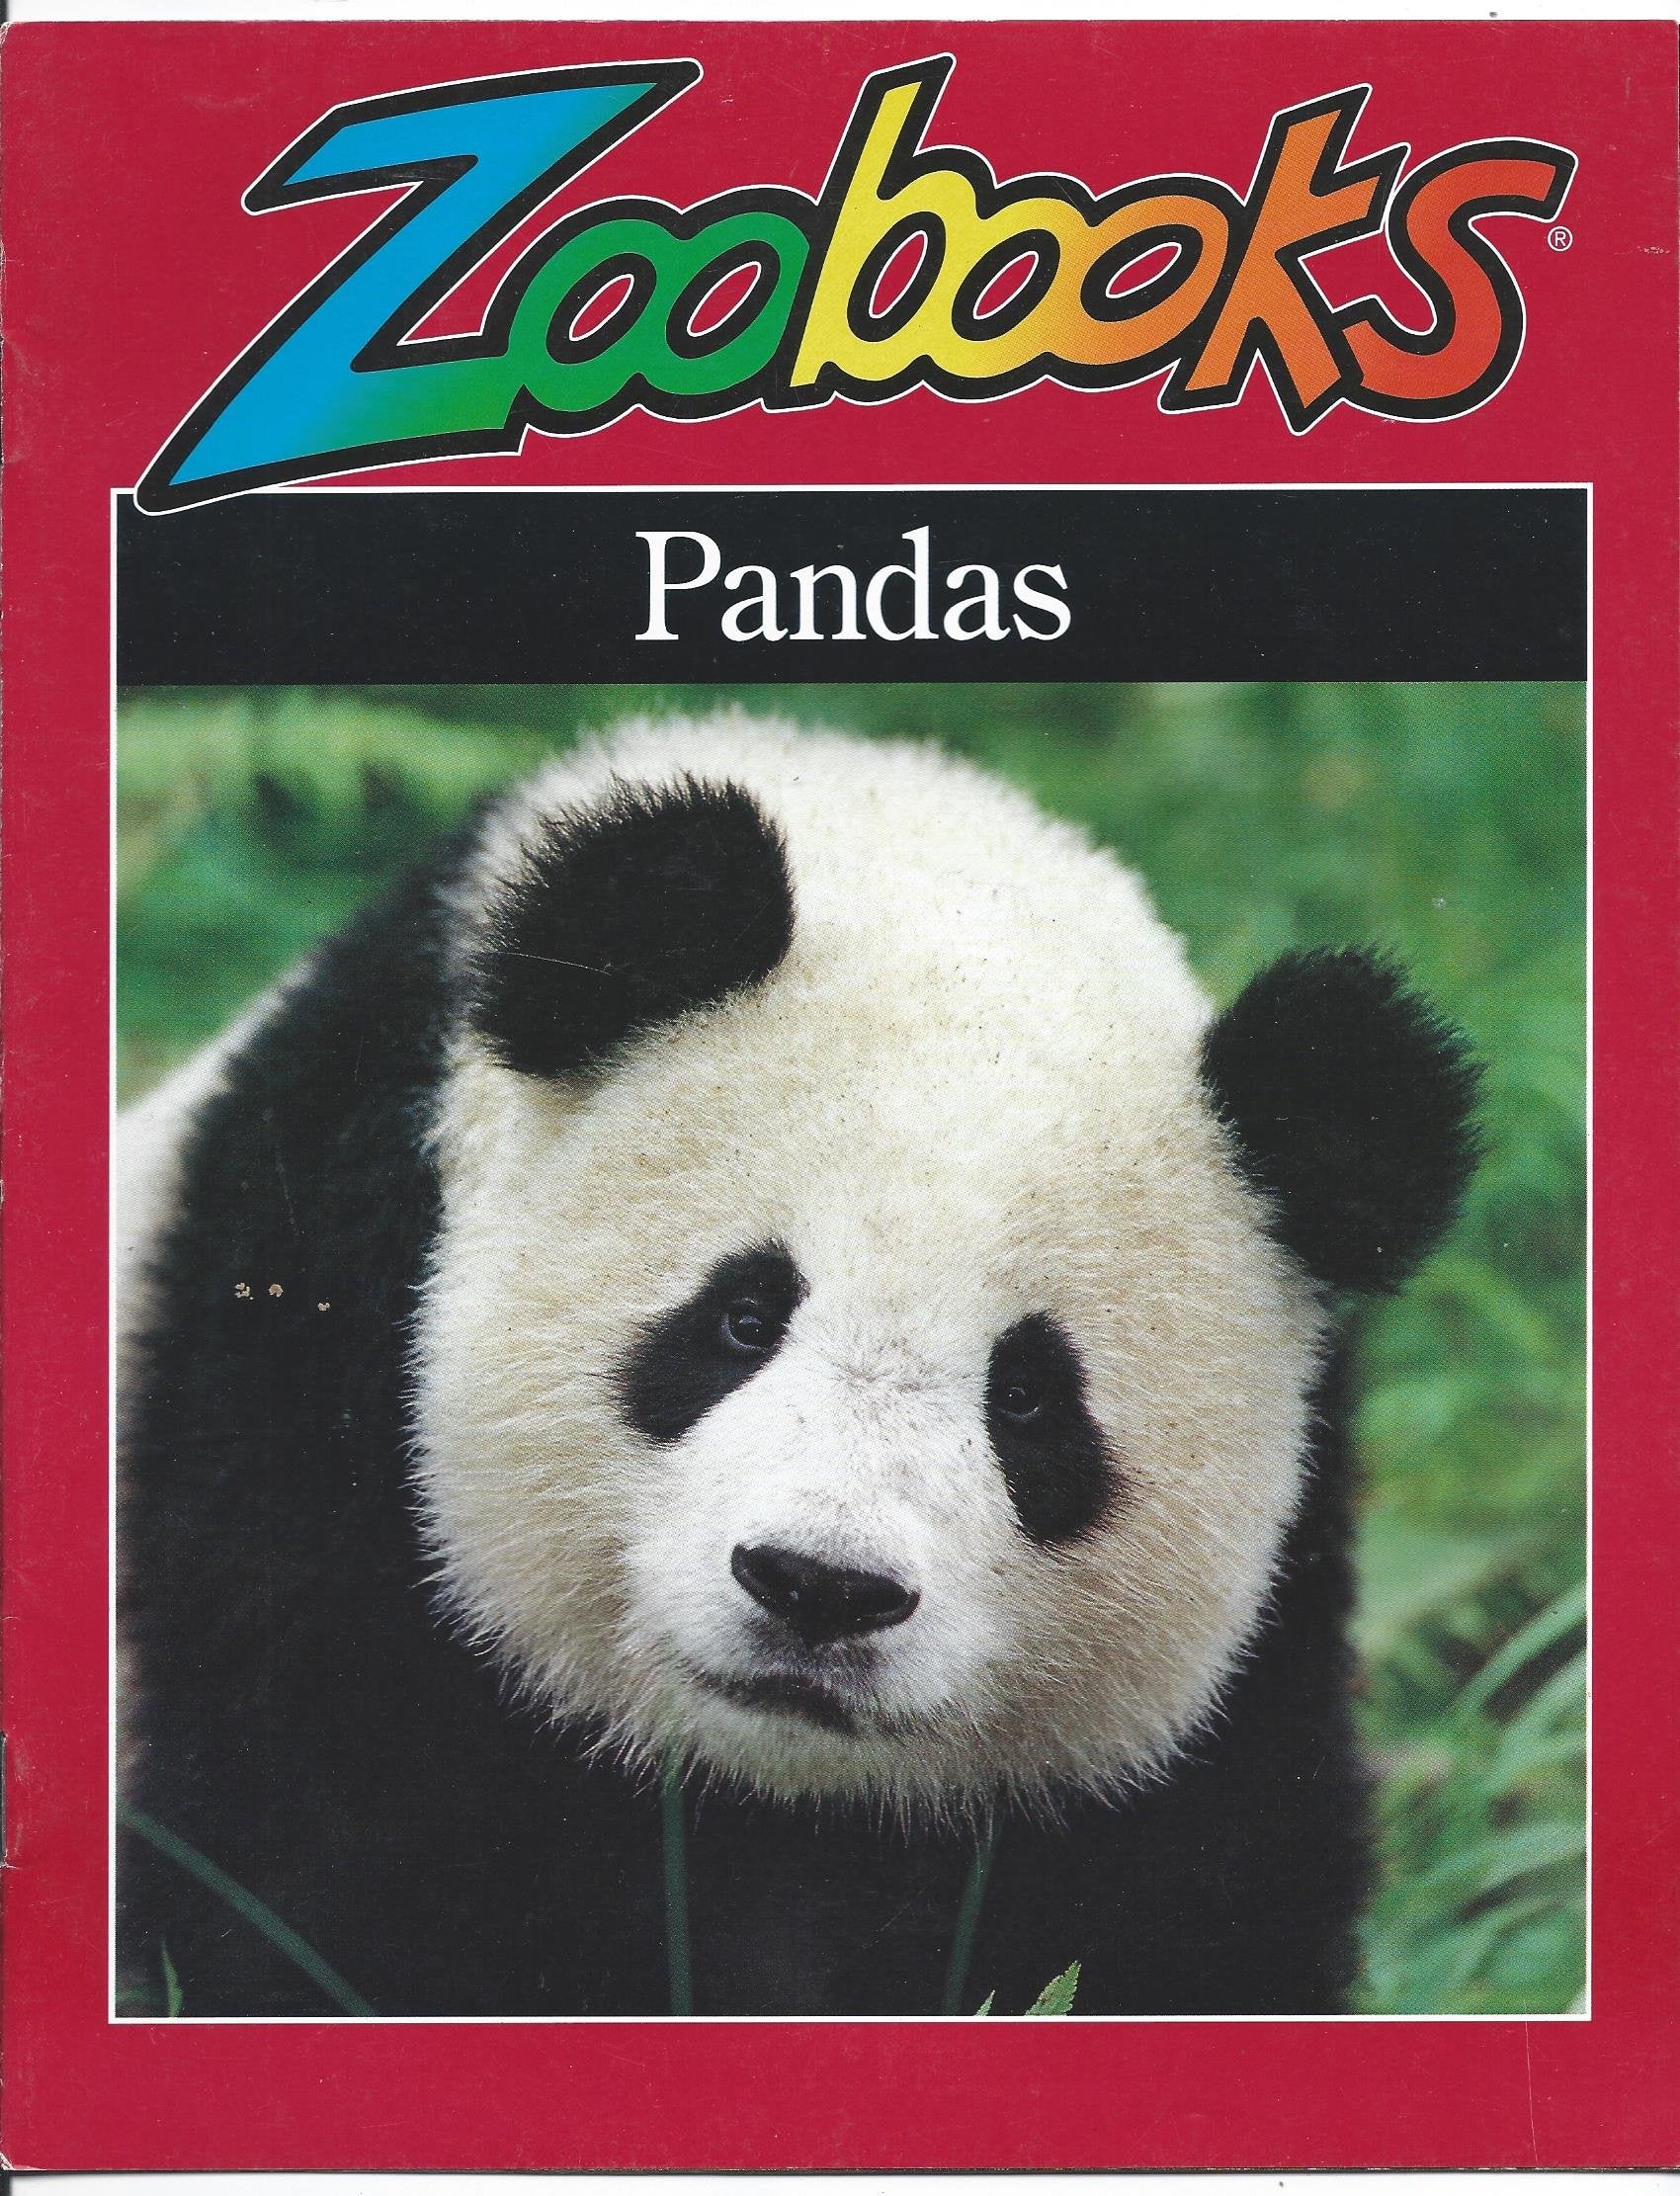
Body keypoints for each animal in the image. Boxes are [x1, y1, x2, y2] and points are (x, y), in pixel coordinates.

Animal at [116, 712, 1479, 2018]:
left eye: (1029, 1399)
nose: (819, 1587)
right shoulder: (301, 1376)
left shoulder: (1262, 1626)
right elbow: (320, 1856)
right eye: (741, 1316)